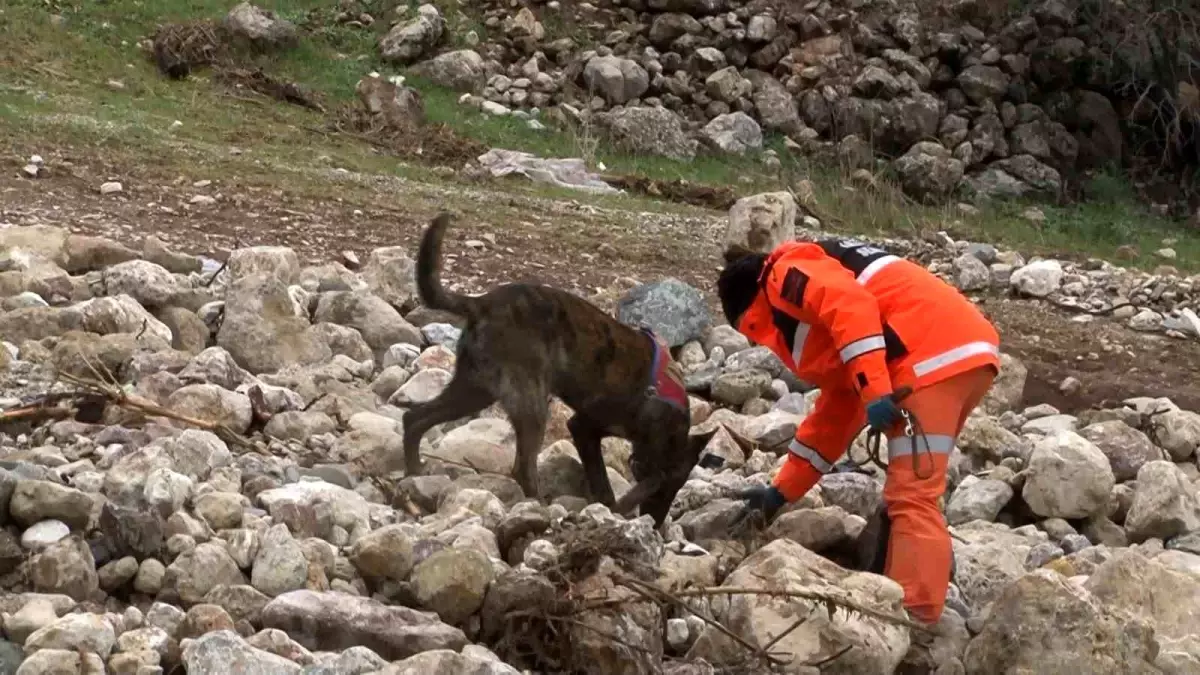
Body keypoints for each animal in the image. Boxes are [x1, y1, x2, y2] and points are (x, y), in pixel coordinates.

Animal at [396, 212, 710, 523]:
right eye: (671, 486)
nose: (656, 522)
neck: (662, 407)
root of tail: (482, 303)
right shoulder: (584, 427)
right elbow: (606, 481)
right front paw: (615, 507)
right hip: (529, 405)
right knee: (522, 468)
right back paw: (540, 508)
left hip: (475, 391)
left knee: (414, 418)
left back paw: (414, 474)